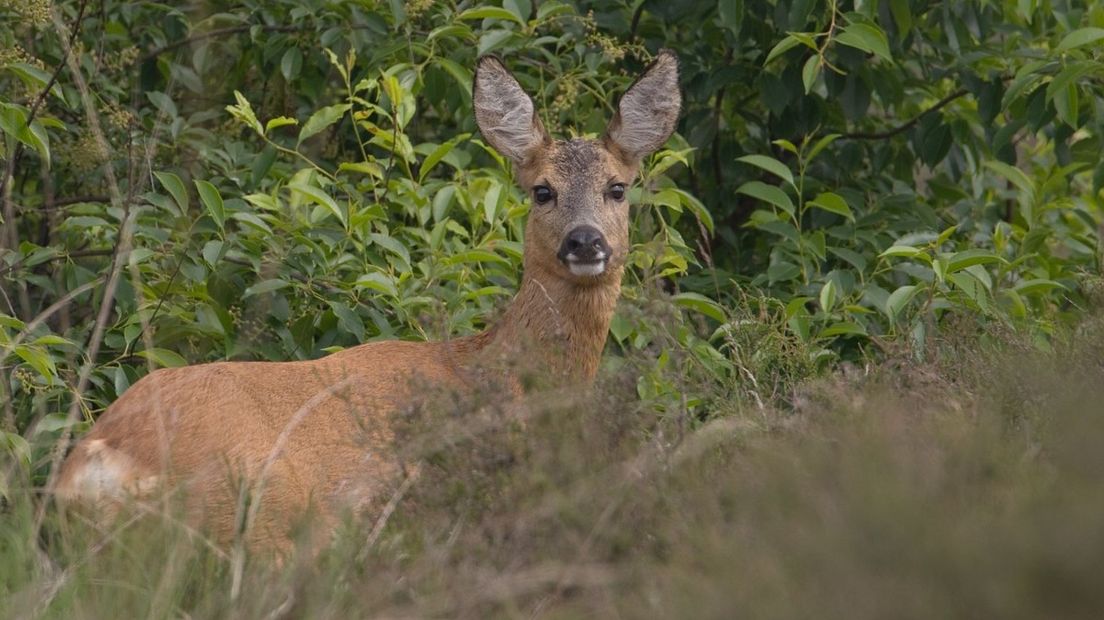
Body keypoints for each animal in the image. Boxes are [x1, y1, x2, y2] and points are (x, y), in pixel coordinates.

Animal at [60, 50, 684, 547]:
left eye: (618, 188)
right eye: (542, 191)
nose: (585, 241)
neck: (494, 375)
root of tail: (96, 461)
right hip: (263, 517)